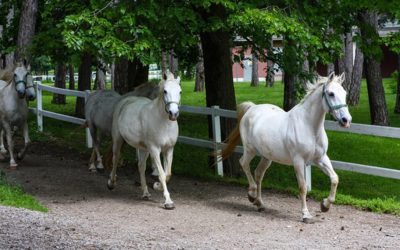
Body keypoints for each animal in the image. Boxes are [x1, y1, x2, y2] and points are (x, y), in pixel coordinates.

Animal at [107, 73, 180, 210]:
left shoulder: (169, 149)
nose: (173, 113)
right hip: (118, 139)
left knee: (141, 166)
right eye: (165, 91)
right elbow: (162, 174)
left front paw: (157, 186)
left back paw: (145, 193)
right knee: (115, 159)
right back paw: (111, 183)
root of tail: (125, 101)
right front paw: (168, 202)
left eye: (180, 91)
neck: (163, 122)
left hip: (143, 148)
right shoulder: (155, 149)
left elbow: (168, 174)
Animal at [220, 73, 352, 223]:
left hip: (267, 157)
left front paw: (325, 205)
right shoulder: (298, 161)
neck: (309, 127)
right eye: (331, 93)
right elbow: (302, 187)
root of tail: (252, 108)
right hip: (250, 150)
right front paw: (306, 215)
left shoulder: (321, 159)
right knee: (244, 164)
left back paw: (260, 203)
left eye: (344, 93)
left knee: (258, 173)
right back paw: (251, 195)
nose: (346, 120)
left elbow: (335, 178)